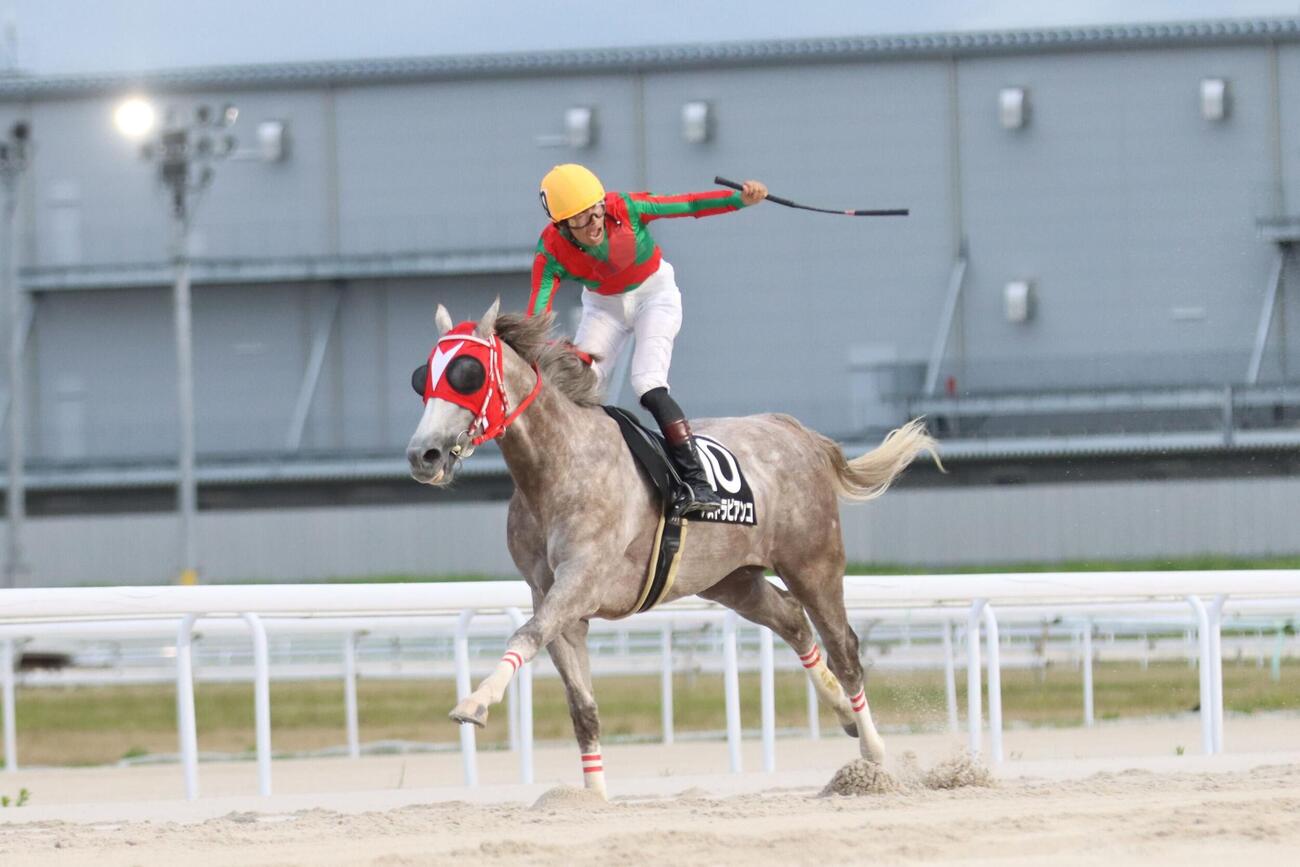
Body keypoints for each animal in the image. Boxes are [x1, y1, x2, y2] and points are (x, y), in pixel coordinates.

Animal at [406, 299, 938, 797]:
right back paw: (842, 711)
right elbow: (582, 705)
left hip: (813, 561)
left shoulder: (582, 580)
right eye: (422, 377)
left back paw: (872, 750)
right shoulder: (552, 597)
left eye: (467, 374)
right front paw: (593, 796)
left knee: (844, 646)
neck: (557, 465)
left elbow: (524, 635)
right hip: (731, 579)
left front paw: (475, 703)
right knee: (791, 620)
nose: (422, 454)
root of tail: (795, 431)